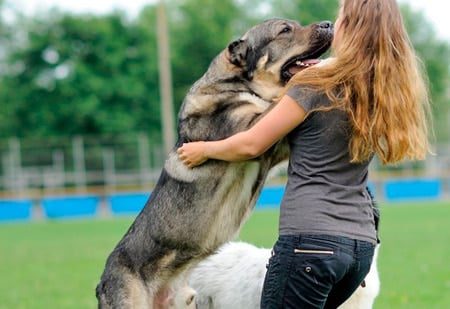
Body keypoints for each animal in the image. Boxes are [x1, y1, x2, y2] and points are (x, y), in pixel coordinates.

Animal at [96, 18, 334, 306]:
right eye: (285, 30)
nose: (329, 24)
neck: (237, 84)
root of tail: (101, 284)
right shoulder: (251, 130)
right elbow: (276, 101)